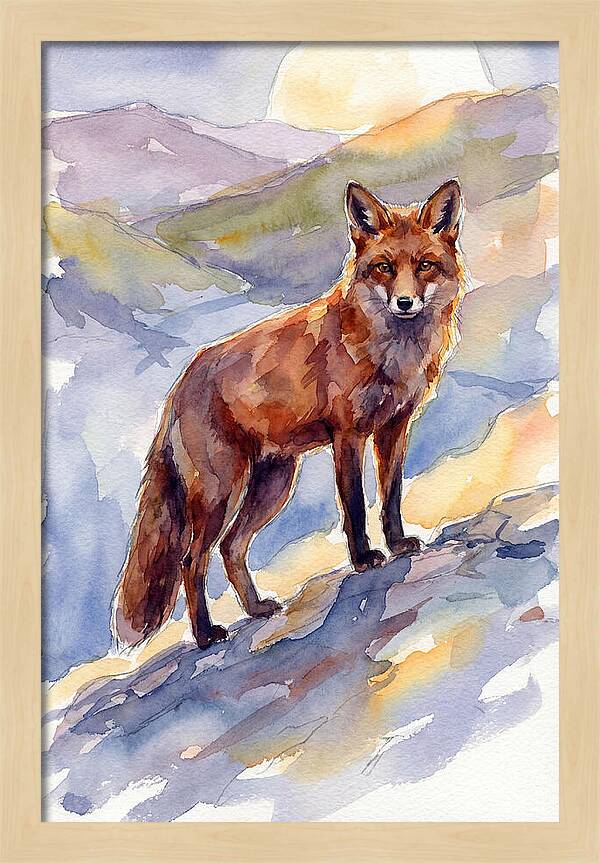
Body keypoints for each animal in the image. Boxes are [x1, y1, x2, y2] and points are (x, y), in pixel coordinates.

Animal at [113, 179, 466, 650]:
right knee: (192, 559)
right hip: (221, 491)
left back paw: (256, 609)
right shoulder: (348, 435)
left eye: (425, 265)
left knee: (231, 548)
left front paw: (397, 544)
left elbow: (390, 496)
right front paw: (363, 558)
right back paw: (206, 635)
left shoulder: (394, 427)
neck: (392, 352)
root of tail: (180, 385)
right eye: (384, 268)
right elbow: (354, 505)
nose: (405, 303)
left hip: (273, 484)